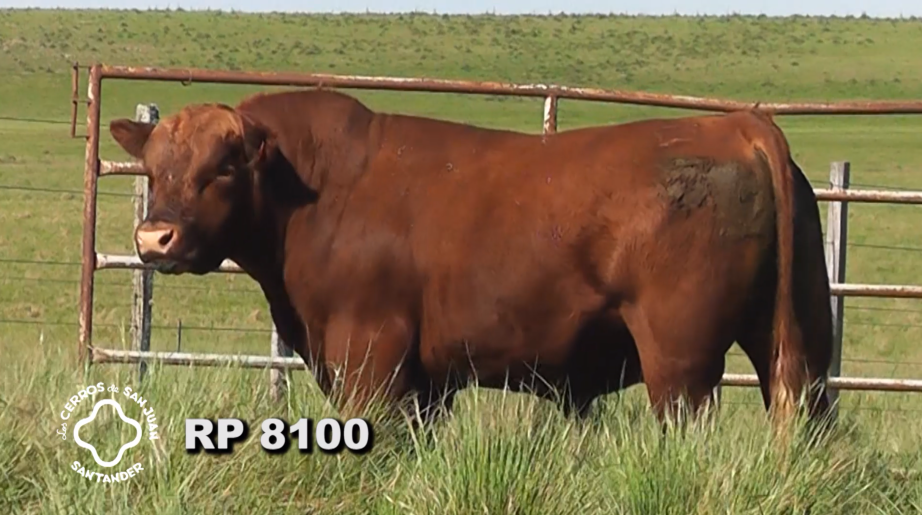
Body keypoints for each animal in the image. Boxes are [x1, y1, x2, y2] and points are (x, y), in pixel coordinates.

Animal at [109, 88, 832, 428]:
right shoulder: (427, 380)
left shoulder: (370, 355)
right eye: (154, 168)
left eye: (224, 167)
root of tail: (735, 124)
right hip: (795, 346)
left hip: (680, 360)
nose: (154, 239)